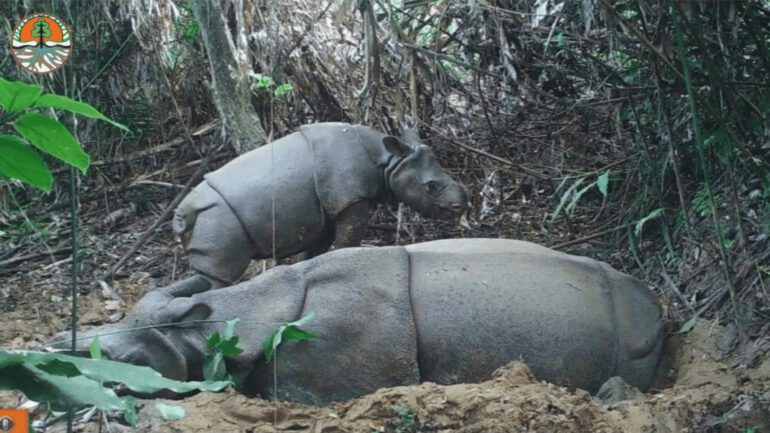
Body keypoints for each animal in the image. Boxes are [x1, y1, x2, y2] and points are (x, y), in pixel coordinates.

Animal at [172, 122, 469, 285]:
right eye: (431, 187)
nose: (461, 207)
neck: (387, 160)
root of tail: (181, 213)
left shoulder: (325, 210)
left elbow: (314, 253)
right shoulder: (351, 200)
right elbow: (346, 243)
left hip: (210, 220)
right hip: (216, 219)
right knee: (217, 276)